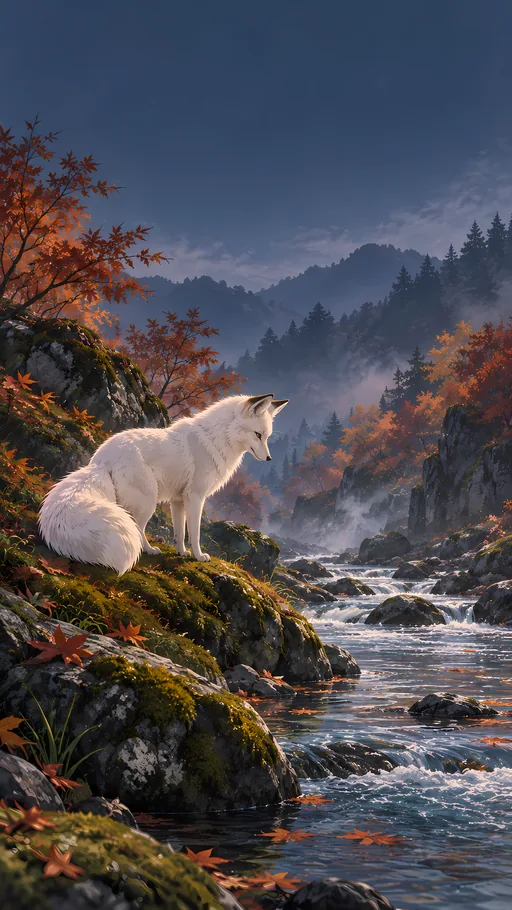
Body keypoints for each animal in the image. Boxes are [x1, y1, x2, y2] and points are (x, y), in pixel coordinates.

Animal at [38, 393, 288, 575]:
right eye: (257, 434)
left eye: (266, 436)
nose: (269, 459)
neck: (216, 439)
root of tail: (101, 460)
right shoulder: (195, 497)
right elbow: (195, 533)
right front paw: (199, 556)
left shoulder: (178, 500)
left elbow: (179, 532)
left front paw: (182, 553)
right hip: (148, 502)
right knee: (138, 529)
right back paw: (148, 550)